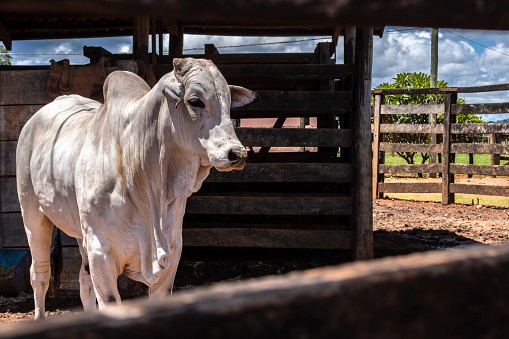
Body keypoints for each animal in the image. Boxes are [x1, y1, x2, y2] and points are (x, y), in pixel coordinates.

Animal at [16, 57, 258, 320]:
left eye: (229, 102)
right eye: (195, 101)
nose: (237, 153)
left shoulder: (171, 250)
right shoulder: (100, 251)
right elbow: (110, 302)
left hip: (81, 232)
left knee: (84, 281)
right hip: (33, 214)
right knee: (39, 274)